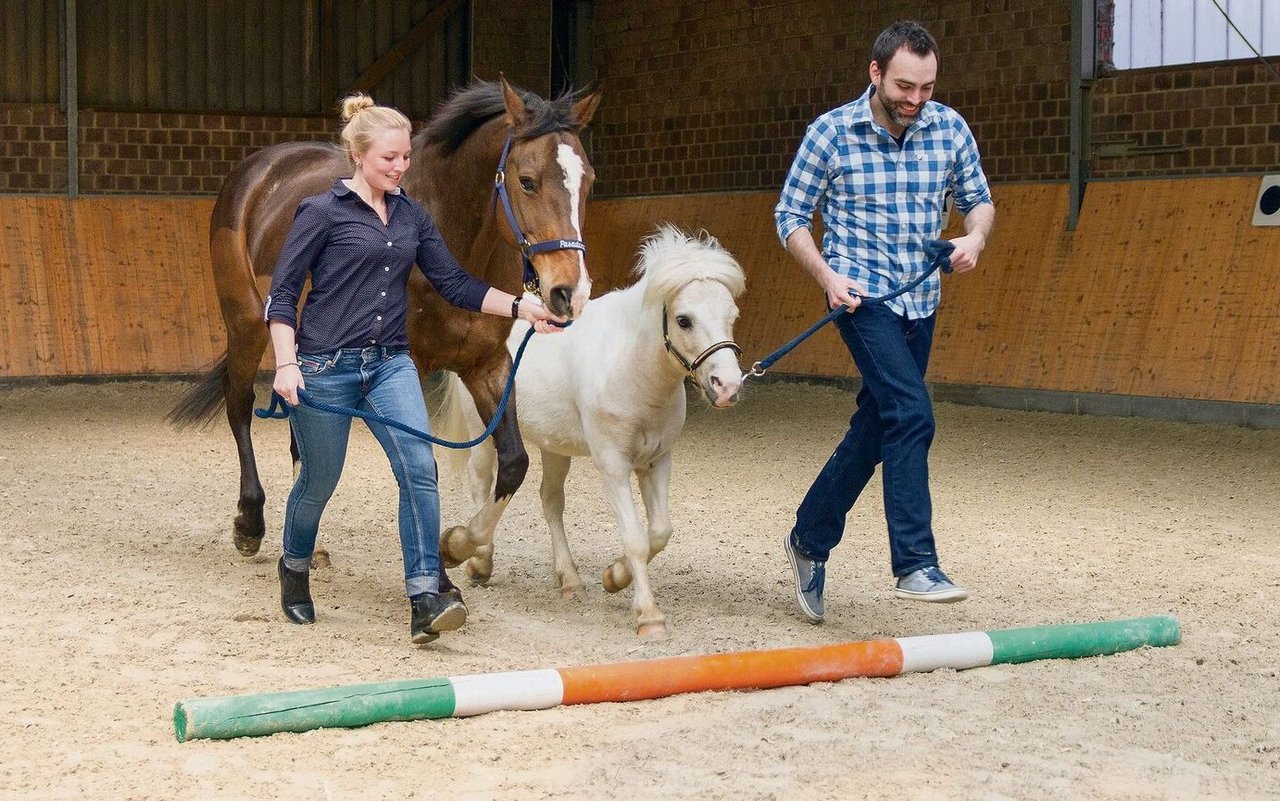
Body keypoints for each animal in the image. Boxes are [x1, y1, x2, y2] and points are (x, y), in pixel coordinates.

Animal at [171, 78, 604, 568]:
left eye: (588, 182)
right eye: (527, 181)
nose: (569, 293)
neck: (451, 233)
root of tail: (258, 170)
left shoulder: (487, 365)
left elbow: (513, 463)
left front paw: (457, 545)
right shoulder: (406, 368)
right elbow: (421, 466)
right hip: (245, 325)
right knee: (240, 406)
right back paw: (250, 523)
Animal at [435, 225, 747, 637]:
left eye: (732, 315)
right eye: (684, 320)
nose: (727, 386)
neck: (632, 368)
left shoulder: (657, 462)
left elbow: (660, 532)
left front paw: (614, 577)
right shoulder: (613, 466)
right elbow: (635, 538)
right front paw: (649, 616)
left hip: (555, 447)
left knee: (551, 501)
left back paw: (569, 580)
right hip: (486, 431)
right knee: (482, 481)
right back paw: (474, 558)